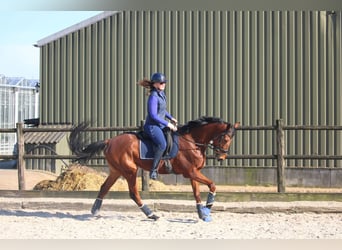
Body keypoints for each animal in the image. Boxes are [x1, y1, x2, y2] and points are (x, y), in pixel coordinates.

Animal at [68, 116, 240, 222]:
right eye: (225, 138)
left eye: (230, 140)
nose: (221, 157)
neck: (192, 141)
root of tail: (109, 140)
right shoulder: (191, 172)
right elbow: (212, 185)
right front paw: (208, 208)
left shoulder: (193, 173)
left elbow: (196, 194)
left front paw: (202, 214)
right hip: (130, 170)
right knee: (133, 193)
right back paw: (151, 214)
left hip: (116, 171)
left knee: (104, 188)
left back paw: (95, 211)